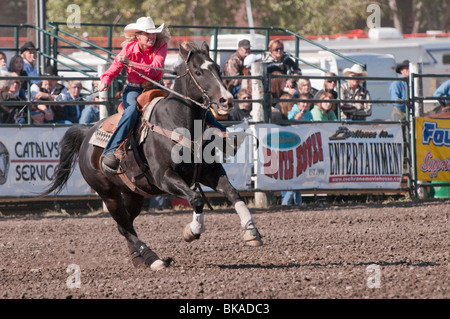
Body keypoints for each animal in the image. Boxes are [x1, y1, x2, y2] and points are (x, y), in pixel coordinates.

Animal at [41, 42, 264, 272]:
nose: (226, 100)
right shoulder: (163, 177)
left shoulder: (209, 172)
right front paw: (192, 231)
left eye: (218, 70)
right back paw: (154, 259)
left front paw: (251, 232)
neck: (178, 122)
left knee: (126, 224)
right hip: (108, 194)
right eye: (198, 72)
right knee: (124, 227)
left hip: (134, 193)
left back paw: (140, 259)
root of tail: (86, 135)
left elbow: (233, 193)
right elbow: (196, 199)